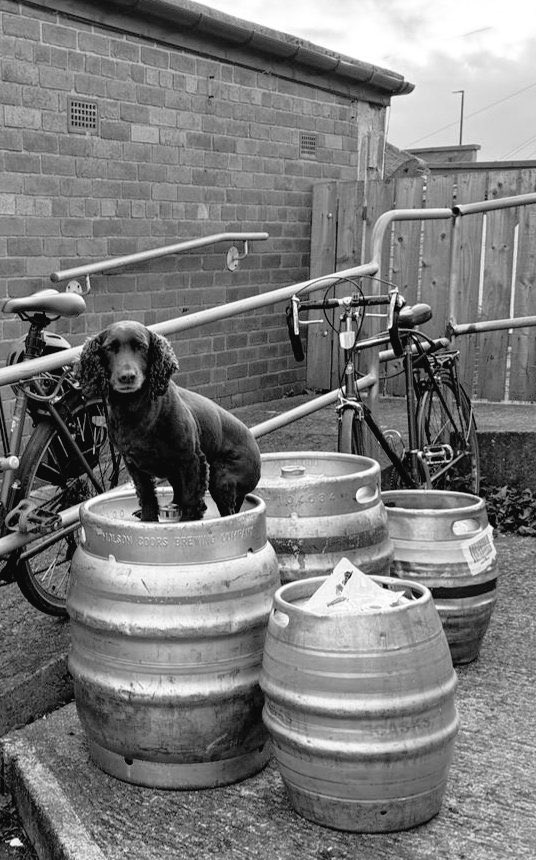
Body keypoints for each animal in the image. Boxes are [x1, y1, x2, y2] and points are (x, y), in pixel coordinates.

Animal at [79, 320, 262, 520]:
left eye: (141, 347)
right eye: (110, 348)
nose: (127, 376)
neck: (135, 408)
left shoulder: (192, 460)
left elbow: (190, 500)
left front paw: (188, 520)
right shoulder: (134, 465)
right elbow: (147, 496)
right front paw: (148, 519)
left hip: (221, 477)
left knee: (227, 511)